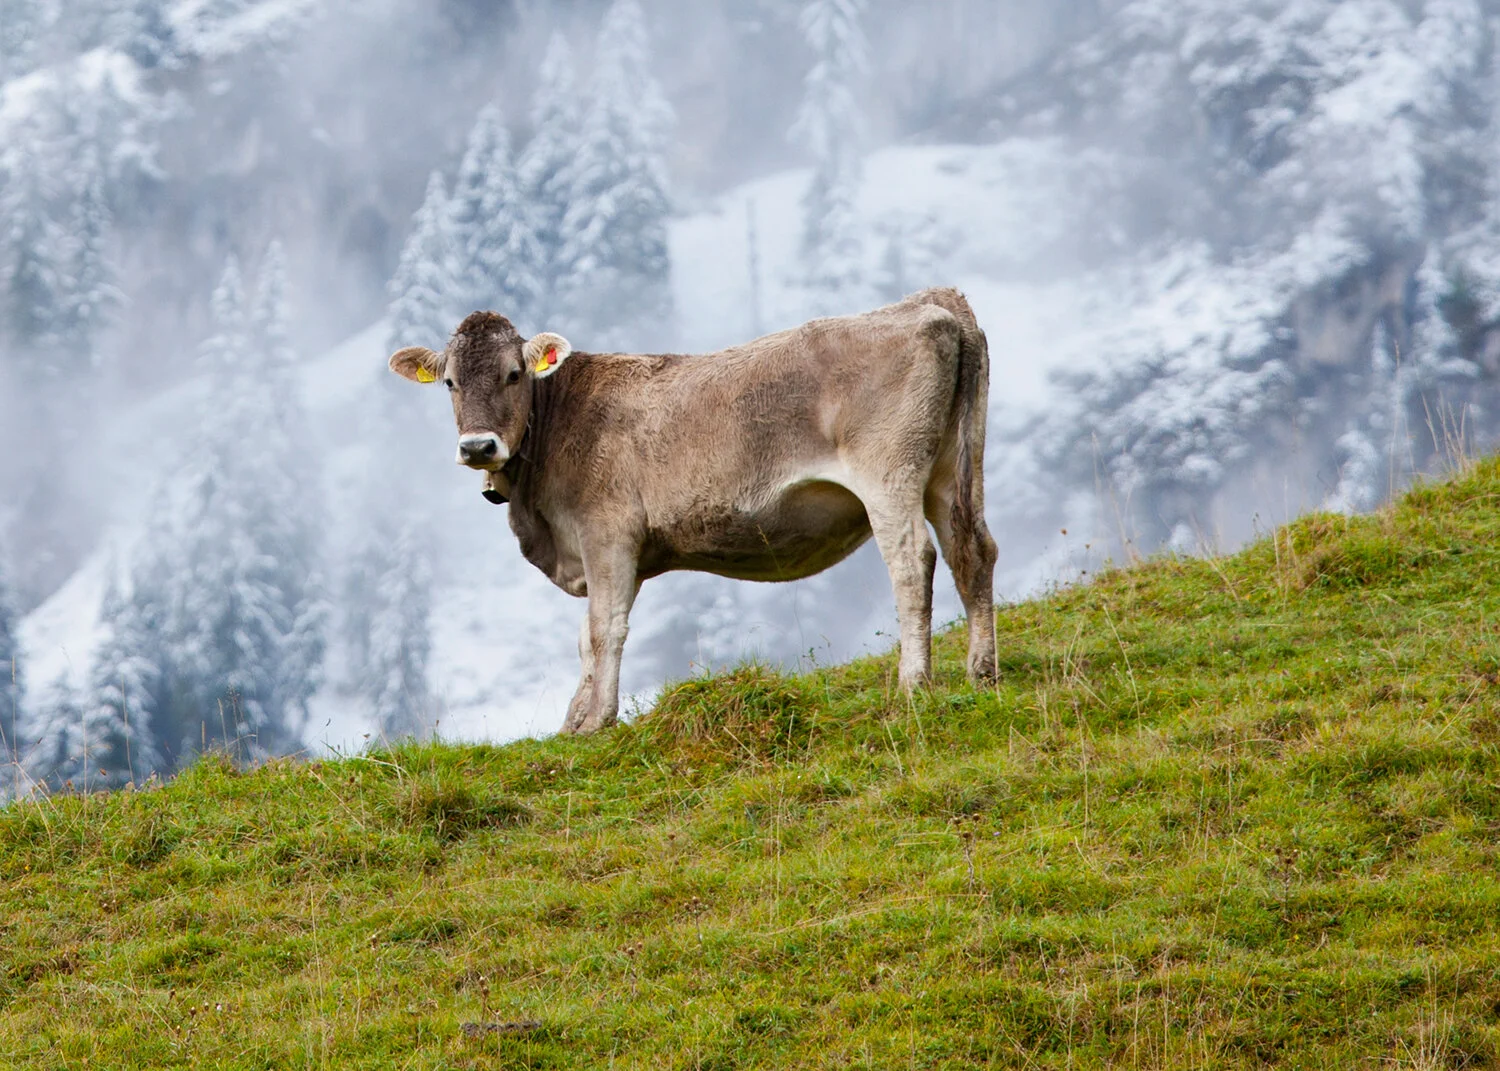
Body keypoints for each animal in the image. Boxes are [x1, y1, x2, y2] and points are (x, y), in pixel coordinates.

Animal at [388, 288, 999, 734]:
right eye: (450, 382)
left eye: (513, 374)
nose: (477, 447)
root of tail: (932, 304)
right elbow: (585, 636)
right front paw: (572, 723)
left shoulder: (607, 532)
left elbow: (603, 629)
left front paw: (597, 721)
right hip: (951, 472)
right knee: (973, 551)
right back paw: (982, 674)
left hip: (888, 472)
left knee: (913, 561)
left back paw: (914, 683)